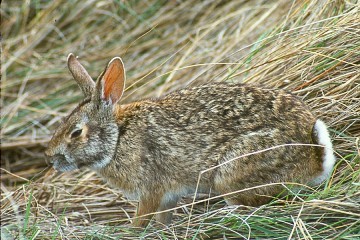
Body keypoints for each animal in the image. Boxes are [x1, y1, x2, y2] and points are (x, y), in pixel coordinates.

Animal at [44, 53, 334, 228]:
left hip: (232, 171)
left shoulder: (150, 190)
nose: (50, 157)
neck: (117, 138)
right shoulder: (167, 196)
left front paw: (133, 230)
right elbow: (163, 218)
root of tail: (316, 156)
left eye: (76, 133)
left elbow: (142, 217)